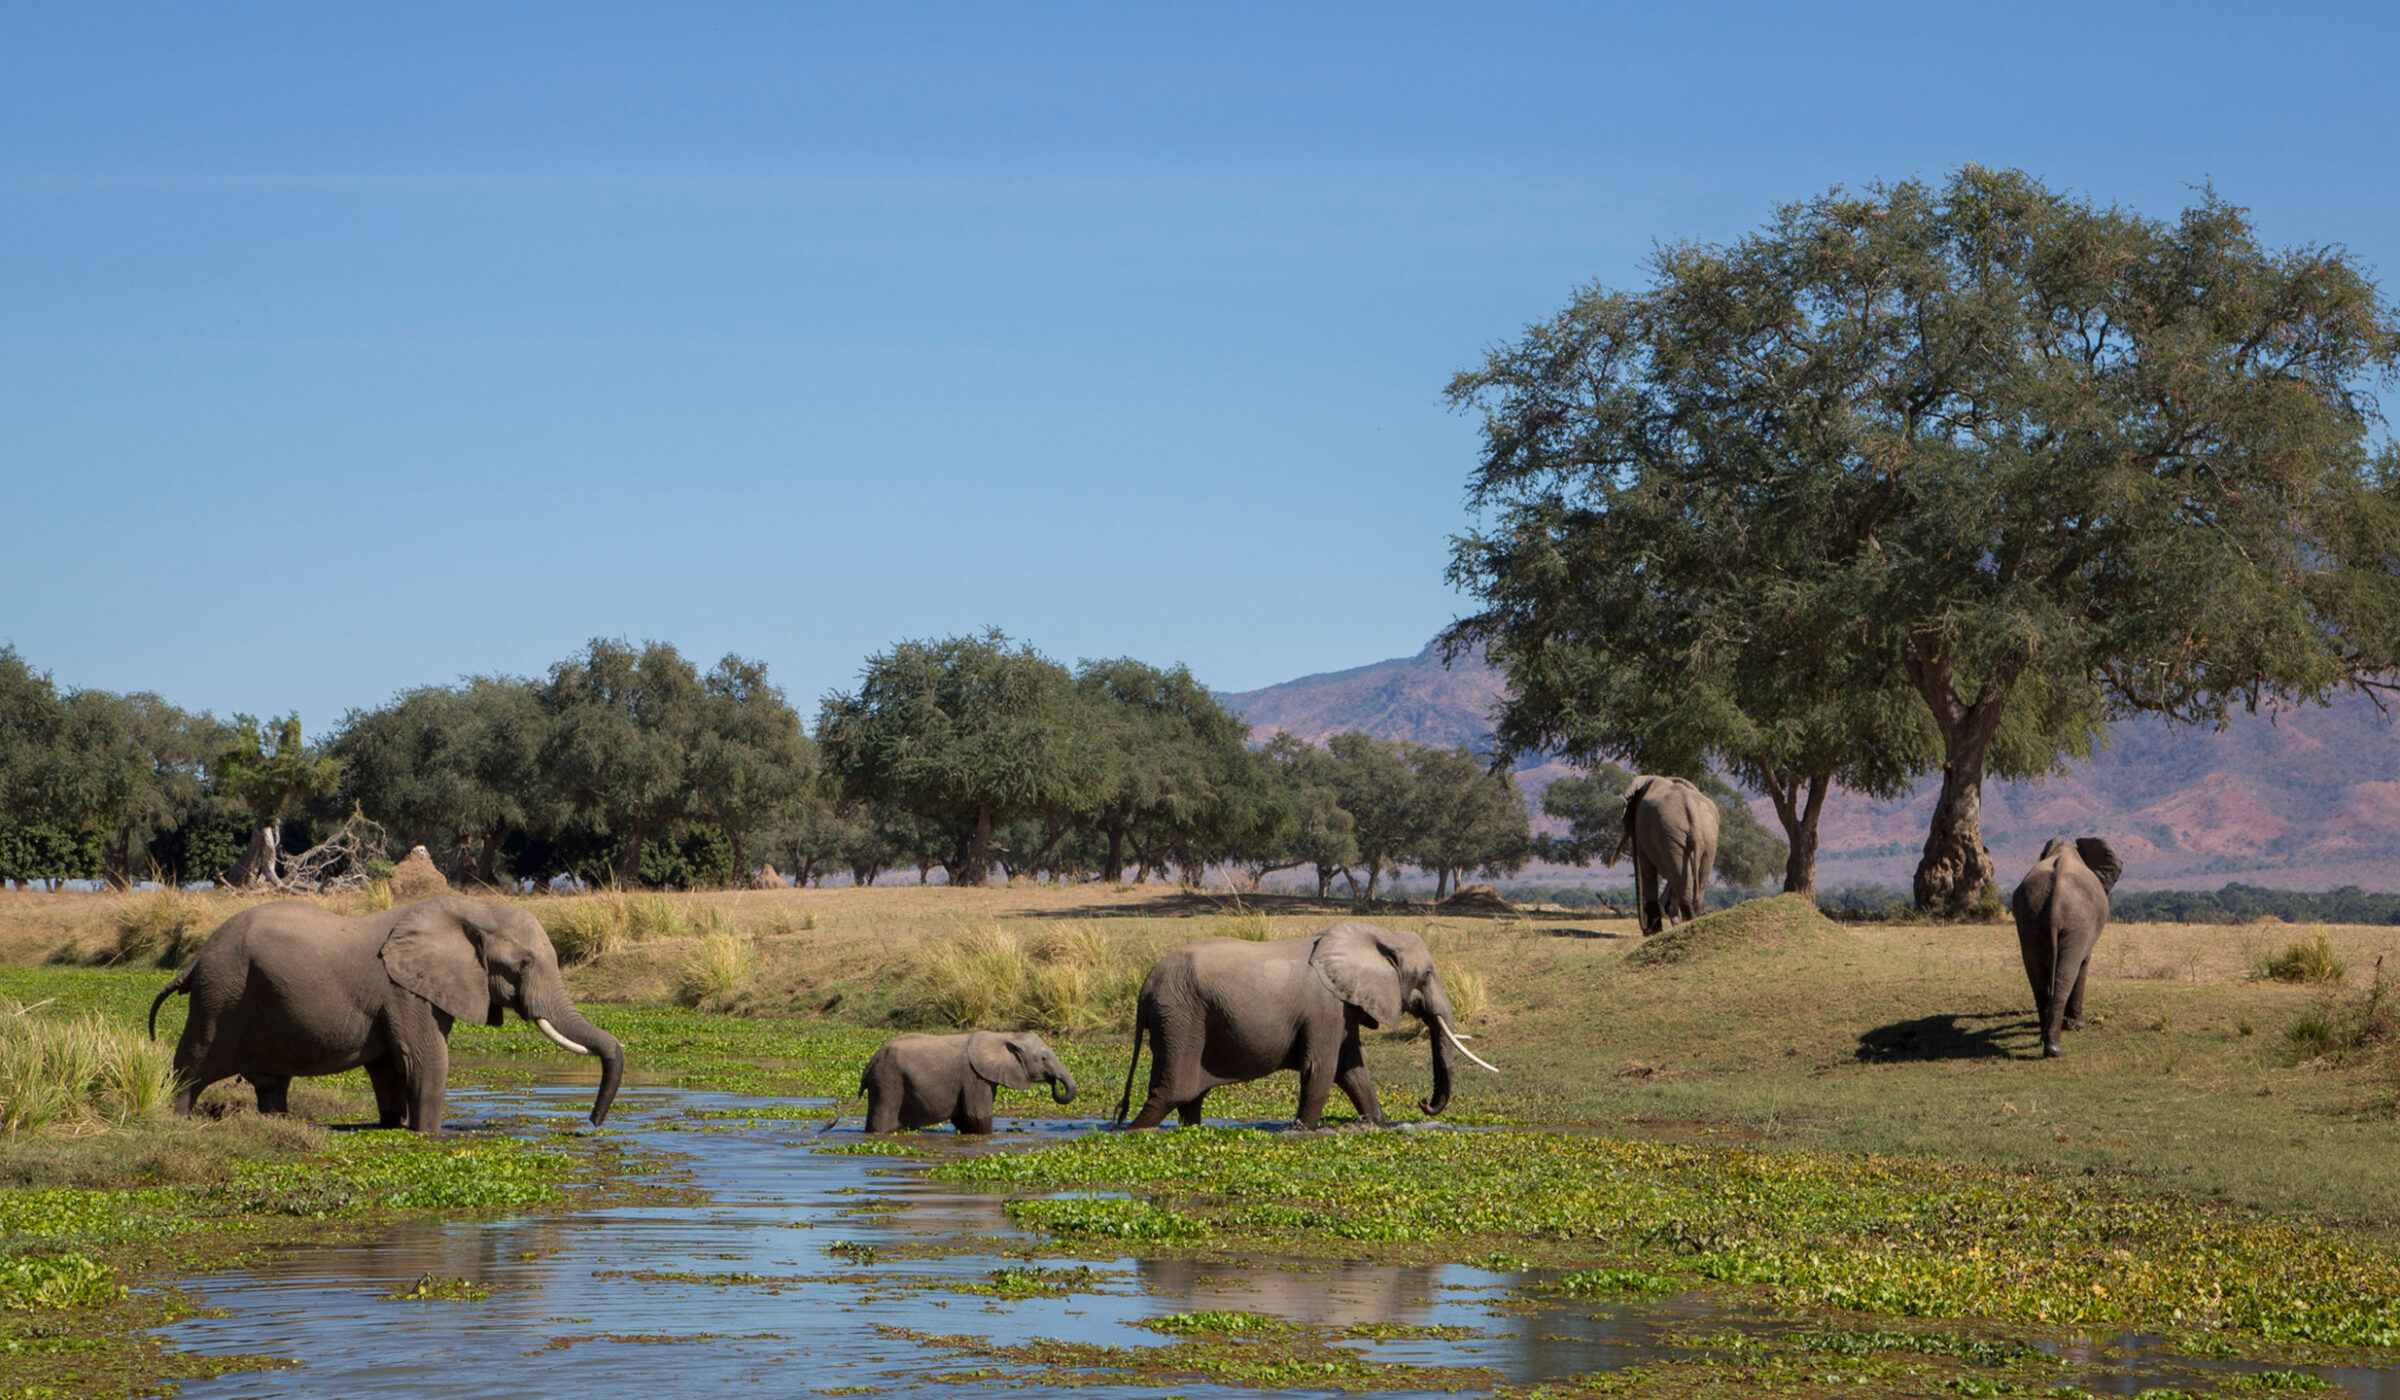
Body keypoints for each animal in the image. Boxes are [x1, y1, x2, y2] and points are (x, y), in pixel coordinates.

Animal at [149, 896, 624, 1134]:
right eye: (524, 964)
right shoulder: (405, 992)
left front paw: (395, 1124)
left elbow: (390, 1067)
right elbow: (426, 1061)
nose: (591, 1124)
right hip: (220, 995)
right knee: (191, 1066)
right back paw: (175, 1119)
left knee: (271, 1085)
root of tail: (194, 959)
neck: (473, 910)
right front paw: (428, 1136)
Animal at [832, 1031, 1077, 1134]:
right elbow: (977, 1116)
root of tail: (868, 1067)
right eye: (1043, 1058)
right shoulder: (974, 1078)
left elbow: (963, 1119)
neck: (1004, 1035)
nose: (1054, 1084)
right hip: (888, 1083)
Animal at [1111, 920, 1497, 1131]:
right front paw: (1302, 1131)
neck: (1375, 934)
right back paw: (1130, 1131)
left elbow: (1352, 1071)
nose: (1423, 1102)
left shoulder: (1343, 1006)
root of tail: (1145, 988)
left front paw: (1377, 1125)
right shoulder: (1325, 1007)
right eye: (1428, 973)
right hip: (1180, 1018)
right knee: (1169, 1094)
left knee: (1190, 1100)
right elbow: (1321, 1069)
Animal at [1609, 774, 1720, 934]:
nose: (1644, 930)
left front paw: (1653, 931)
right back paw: (1691, 920)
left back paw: (1685, 922)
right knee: (1694, 877)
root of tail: (1691, 808)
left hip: (1670, 833)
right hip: (1706, 837)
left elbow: (1647, 869)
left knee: (1677, 874)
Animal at [2011, 837, 2122, 1058]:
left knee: (2038, 980)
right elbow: (2084, 963)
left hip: (2029, 920)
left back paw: (2044, 1041)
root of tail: (2055, 899)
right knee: (2067, 975)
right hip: (2077, 923)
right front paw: (2079, 1026)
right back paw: (2055, 1050)